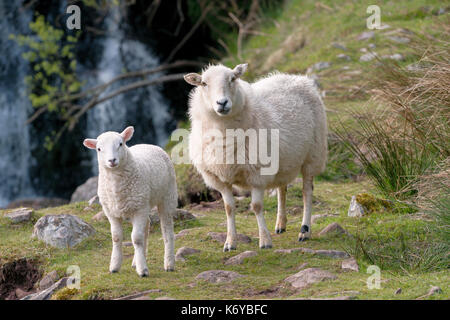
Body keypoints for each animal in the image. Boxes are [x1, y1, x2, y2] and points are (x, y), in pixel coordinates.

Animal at [83, 126, 177, 276]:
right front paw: (115, 266)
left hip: (166, 195)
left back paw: (169, 263)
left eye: (120, 144)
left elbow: (136, 238)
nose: (112, 160)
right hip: (141, 203)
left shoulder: (139, 209)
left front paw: (143, 270)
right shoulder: (111, 212)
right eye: (99, 149)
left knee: (167, 229)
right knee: (147, 226)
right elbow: (116, 237)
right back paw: (136, 261)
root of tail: (149, 144)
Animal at [183, 63, 326, 251]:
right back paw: (281, 224)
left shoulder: (257, 173)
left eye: (233, 79)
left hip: (313, 155)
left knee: (307, 192)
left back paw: (304, 231)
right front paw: (230, 242)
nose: (222, 103)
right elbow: (229, 208)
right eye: (204, 83)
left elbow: (257, 207)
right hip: (284, 161)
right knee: (282, 188)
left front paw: (265, 240)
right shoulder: (219, 179)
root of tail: (298, 78)